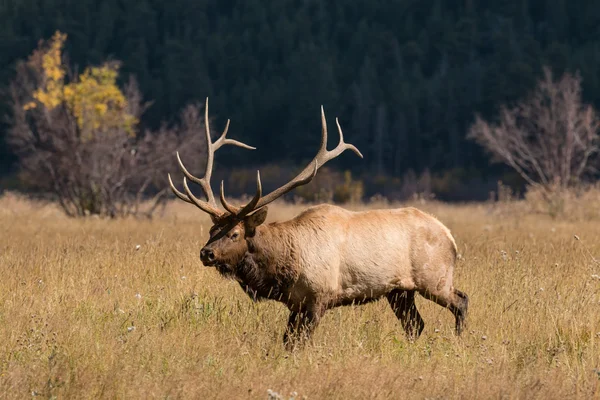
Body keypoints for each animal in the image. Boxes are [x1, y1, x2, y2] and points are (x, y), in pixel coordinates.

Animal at [169, 98, 468, 348]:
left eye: (234, 233)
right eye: (212, 230)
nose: (206, 253)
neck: (285, 265)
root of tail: (450, 236)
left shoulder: (318, 298)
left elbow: (300, 343)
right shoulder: (296, 304)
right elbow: (287, 341)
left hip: (434, 279)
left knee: (460, 302)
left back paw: (458, 343)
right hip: (399, 291)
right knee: (416, 325)